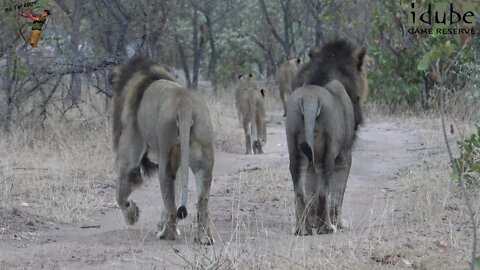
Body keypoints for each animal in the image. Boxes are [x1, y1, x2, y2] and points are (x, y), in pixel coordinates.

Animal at [109, 57, 215, 245]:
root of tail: (185, 104)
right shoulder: (179, 163)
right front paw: (158, 223)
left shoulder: (130, 154)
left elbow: (120, 193)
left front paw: (132, 215)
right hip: (203, 158)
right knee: (201, 202)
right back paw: (203, 237)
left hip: (165, 157)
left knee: (172, 207)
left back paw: (168, 234)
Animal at [284, 39, 368, 235]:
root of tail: (310, 99)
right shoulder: (344, 156)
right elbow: (337, 195)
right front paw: (339, 223)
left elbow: (310, 192)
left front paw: (312, 221)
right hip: (328, 153)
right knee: (324, 191)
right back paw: (327, 227)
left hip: (297, 152)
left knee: (300, 191)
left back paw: (302, 229)